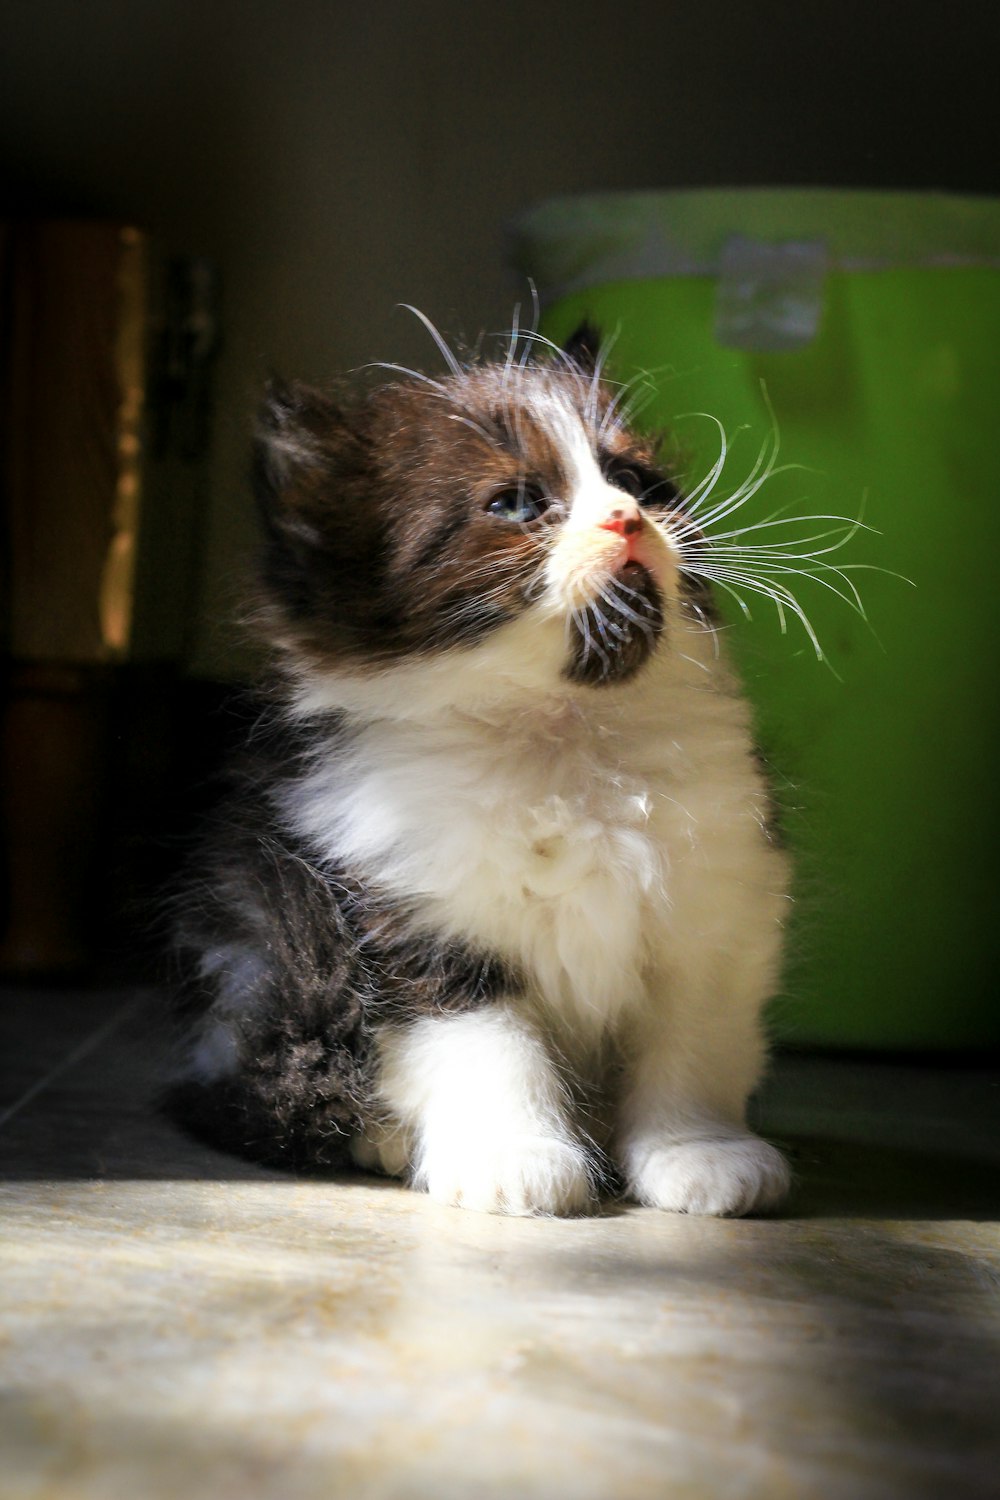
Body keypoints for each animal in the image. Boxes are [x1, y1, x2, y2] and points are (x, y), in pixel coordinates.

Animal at [172, 322, 797, 1212]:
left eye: (637, 481)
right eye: (516, 504)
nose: (628, 519)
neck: (564, 740)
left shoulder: (718, 900)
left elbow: (694, 1042)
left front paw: (700, 1153)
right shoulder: (411, 912)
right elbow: (484, 1042)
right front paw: (513, 1157)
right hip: (274, 953)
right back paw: (393, 1140)